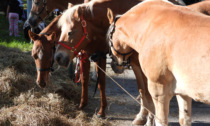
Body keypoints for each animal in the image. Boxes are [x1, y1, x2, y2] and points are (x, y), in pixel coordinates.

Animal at [54, 0, 185, 125]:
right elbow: (97, 82)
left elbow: (146, 92)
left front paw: (147, 118)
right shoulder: (98, 55)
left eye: (71, 32)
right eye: (61, 30)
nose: (58, 57)